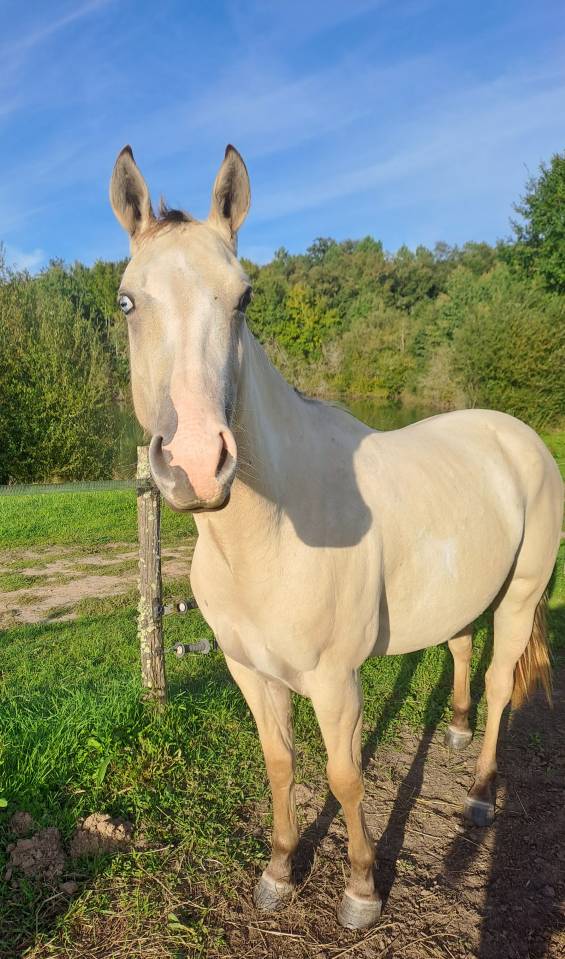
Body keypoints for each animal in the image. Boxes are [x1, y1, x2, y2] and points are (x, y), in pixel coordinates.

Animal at [109, 144, 563, 930]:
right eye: (128, 301)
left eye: (244, 298)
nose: (196, 462)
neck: (267, 537)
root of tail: (517, 433)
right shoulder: (250, 672)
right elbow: (280, 764)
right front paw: (279, 870)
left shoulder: (333, 680)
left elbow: (345, 775)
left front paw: (359, 889)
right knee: (459, 647)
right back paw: (453, 729)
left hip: (522, 593)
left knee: (501, 681)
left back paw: (479, 793)